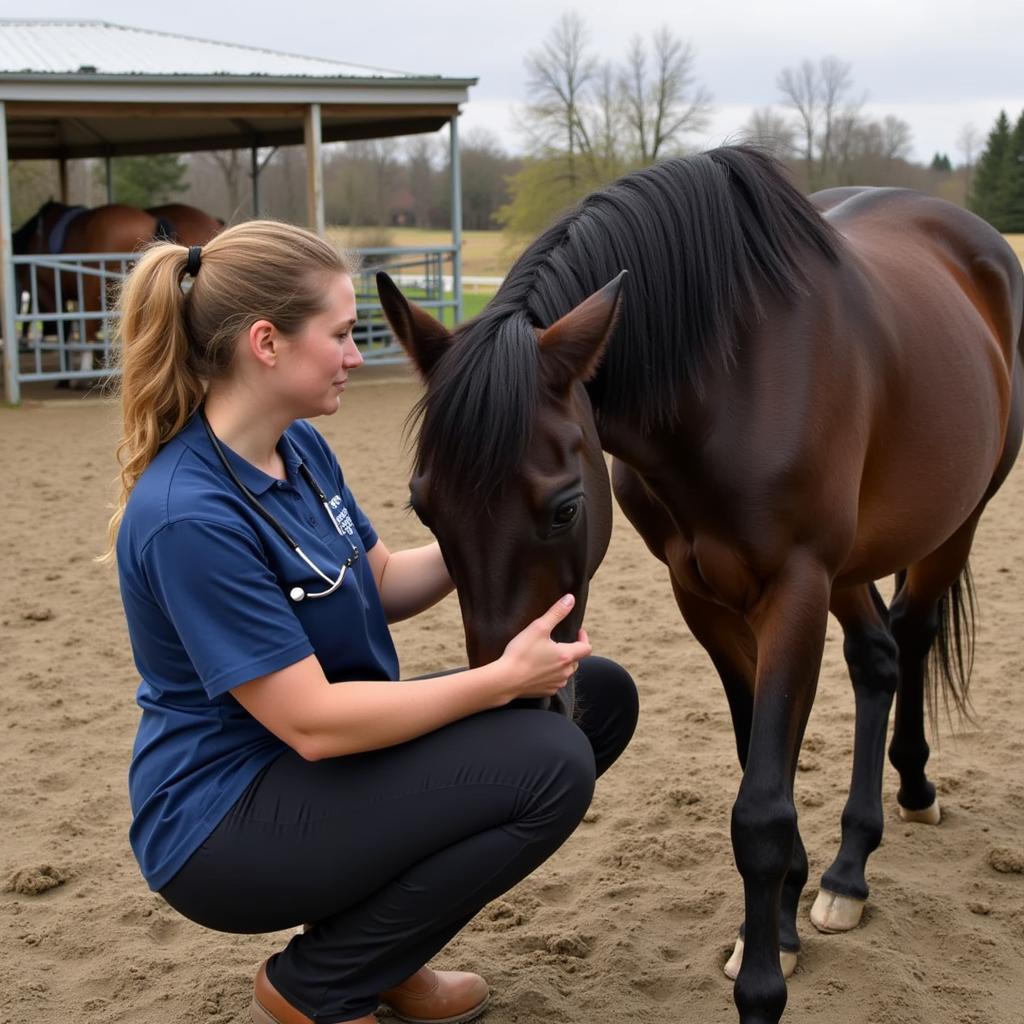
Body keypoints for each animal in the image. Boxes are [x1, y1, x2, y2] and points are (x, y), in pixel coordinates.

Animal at [378, 146, 1024, 1024]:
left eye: (565, 507)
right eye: (423, 507)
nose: (515, 714)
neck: (733, 380)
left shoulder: (794, 586)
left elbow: (761, 807)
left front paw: (763, 986)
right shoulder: (705, 597)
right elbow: (760, 761)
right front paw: (776, 925)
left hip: (952, 524)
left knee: (914, 639)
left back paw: (905, 802)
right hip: (850, 567)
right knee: (878, 658)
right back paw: (847, 868)